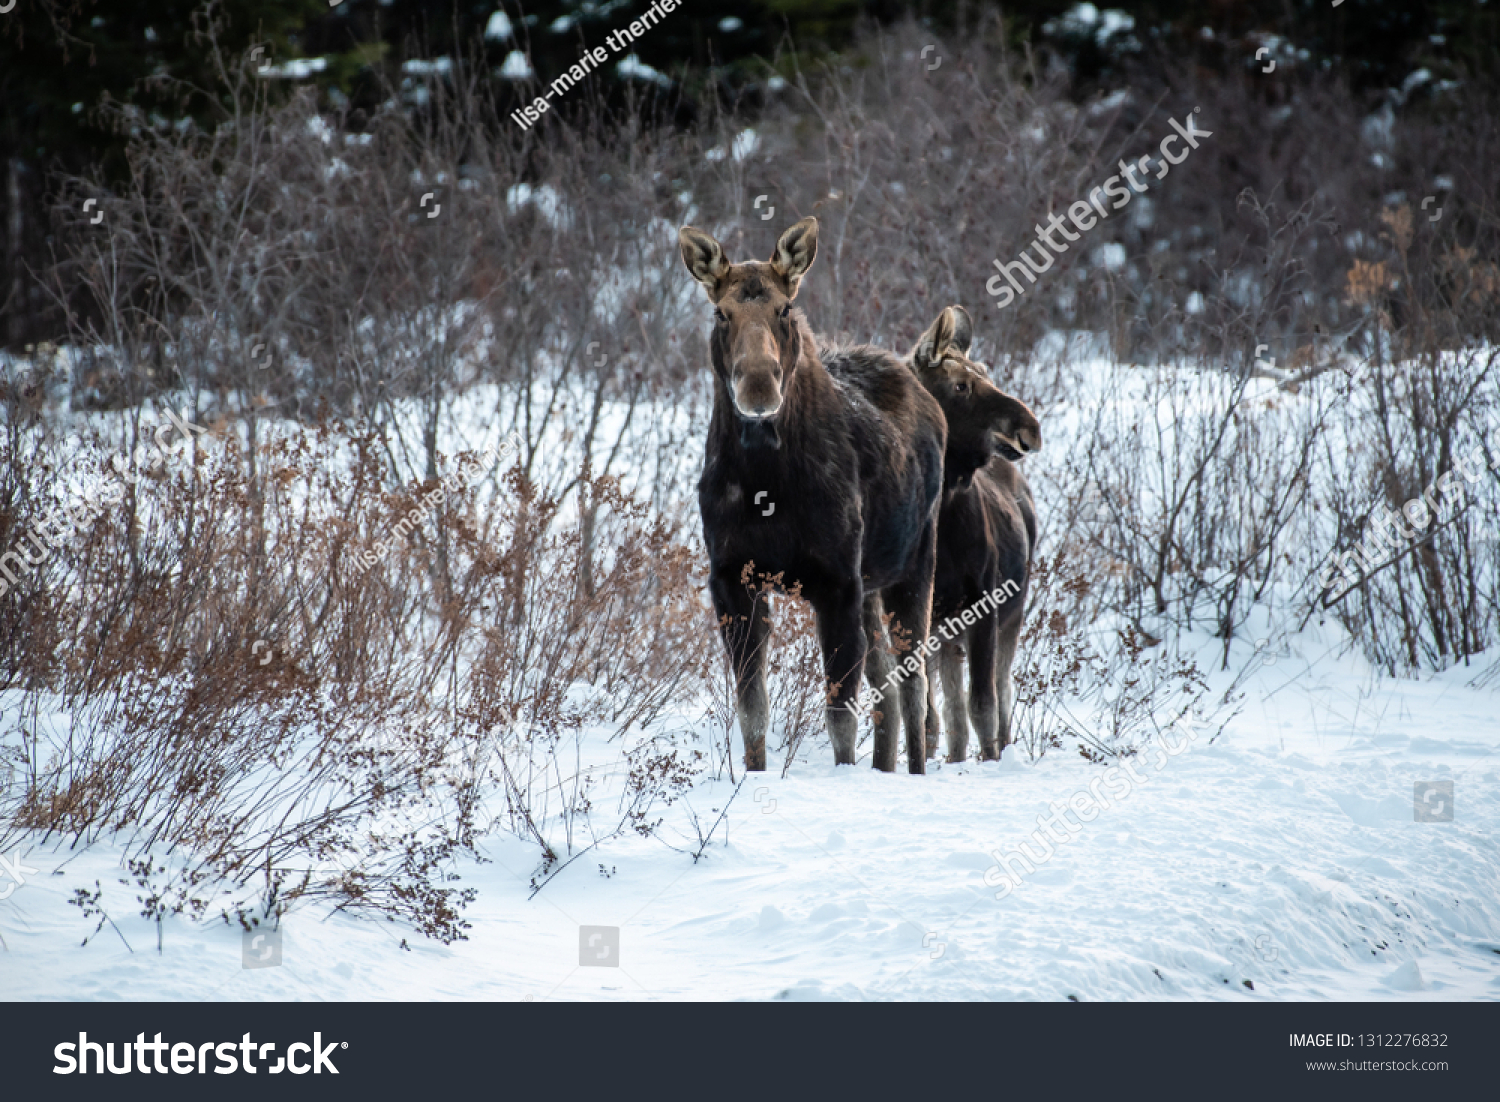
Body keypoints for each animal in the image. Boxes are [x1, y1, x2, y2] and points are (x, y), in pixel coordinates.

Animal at [678, 217, 936, 773]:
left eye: (784, 308)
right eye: (721, 312)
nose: (758, 387)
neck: (765, 481)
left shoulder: (836, 582)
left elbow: (840, 716)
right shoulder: (731, 578)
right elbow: (752, 711)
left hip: (914, 566)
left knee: (914, 686)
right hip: (873, 585)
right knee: (888, 685)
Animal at [900, 305, 1044, 761]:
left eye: (985, 371)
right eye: (960, 385)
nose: (1030, 428)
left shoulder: (985, 607)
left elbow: (983, 705)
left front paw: (991, 763)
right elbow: (932, 715)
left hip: (1012, 613)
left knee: (1000, 693)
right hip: (947, 633)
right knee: (952, 712)